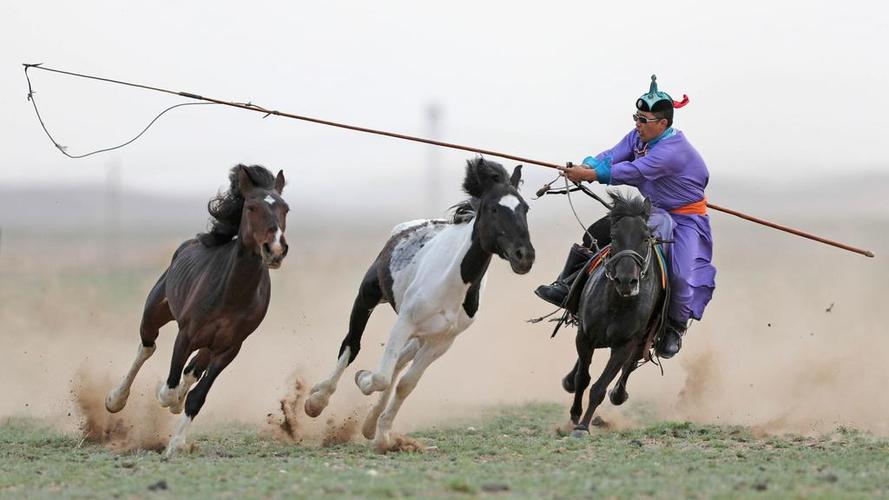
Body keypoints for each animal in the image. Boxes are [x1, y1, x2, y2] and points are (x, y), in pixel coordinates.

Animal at [104, 164, 289, 457]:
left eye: (285, 208)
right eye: (251, 207)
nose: (275, 249)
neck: (233, 293)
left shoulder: (230, 348)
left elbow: (197, 395)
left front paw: (175, 443)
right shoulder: (187, 334)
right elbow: (169, 386)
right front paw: (165, 398)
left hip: (211, 343)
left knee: (192, 369)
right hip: (154, 313)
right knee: (147, 346)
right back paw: (116, 399)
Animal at [303, 157, 535, 451]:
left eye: (525, 208)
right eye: (494, 209)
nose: (524, 256)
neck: (451, 281)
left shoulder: (442, 342)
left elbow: (405, 384)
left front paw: (383, 436)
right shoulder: (405, 322)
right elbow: (381, 377)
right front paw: (361, 379)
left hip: (422, 336)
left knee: (399, 362)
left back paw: (369, 424)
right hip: (368, 296)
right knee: (352, 345)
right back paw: (317, 400)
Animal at [563, 192, 666, 436]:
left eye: (646, 238)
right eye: (614, 236)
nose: (626, 281)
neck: (616, 303)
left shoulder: (624, 345)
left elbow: (600, 387)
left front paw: (583, 427)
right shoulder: (585, 336)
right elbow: (583, 378)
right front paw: (574, 416)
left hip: (643, 339)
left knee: (630, 366)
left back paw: (619, 394)